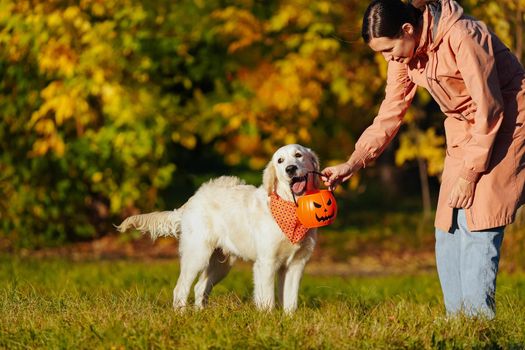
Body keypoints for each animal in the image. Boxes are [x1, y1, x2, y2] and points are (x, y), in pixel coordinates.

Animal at [115, 144, 320, 314]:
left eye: (299, 155)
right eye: (280, 160)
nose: (290, 169)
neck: (292, 207)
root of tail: (192, 199)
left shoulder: (296, 264)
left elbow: (290, 301)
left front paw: (288, 321)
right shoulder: (266, 262)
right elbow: (267, 299)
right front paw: (267, 321)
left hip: (222, 262)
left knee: (199, 287)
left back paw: (200, 314)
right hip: (197, 254)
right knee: (180, 288)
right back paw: (182, 316)